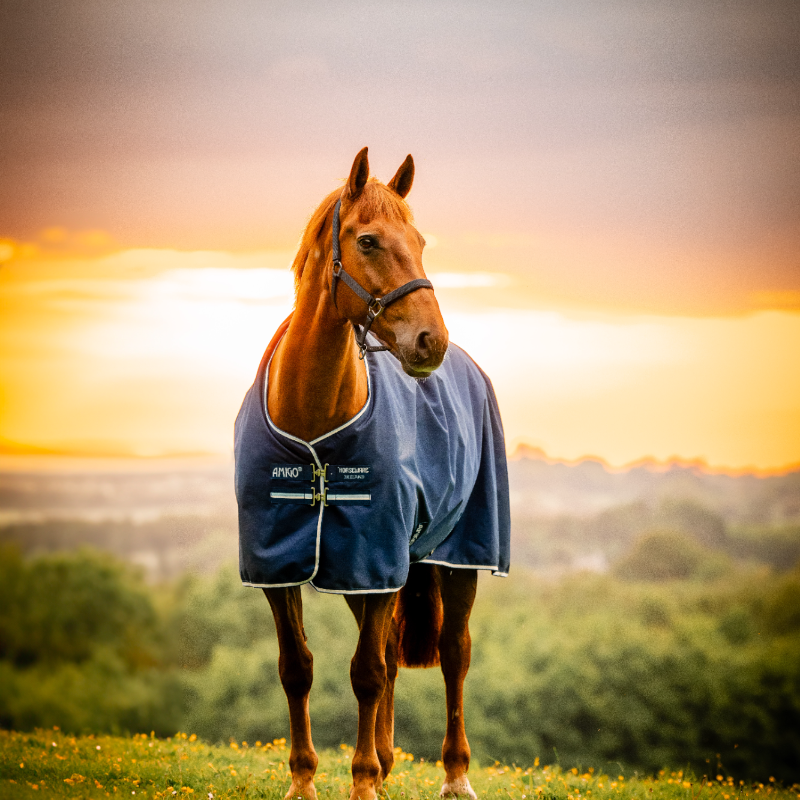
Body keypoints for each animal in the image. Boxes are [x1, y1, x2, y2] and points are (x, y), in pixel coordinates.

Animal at [234, 148, 510, 800]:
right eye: (367, 240)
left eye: (421, 240)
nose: (431, 341)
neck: (314, 422)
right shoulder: (285, 565)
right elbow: (298, 668)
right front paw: (305, 781)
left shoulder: (376, 558)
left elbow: (365, 672)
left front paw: (360, 783)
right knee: (386, 652)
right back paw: (385, 761)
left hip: (458, 558)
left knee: (453, 653)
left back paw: (454, 773)